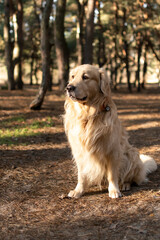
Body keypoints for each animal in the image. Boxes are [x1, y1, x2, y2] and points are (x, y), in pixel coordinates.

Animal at [63, 63, 157, 199]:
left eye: (85, 77)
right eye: (72, 76)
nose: (69, 87)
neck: (89, 115)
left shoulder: (112, 150)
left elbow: (112, 174)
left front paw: (114, 190)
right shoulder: (79, 151)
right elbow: (81, 175)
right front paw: (78, 190)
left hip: (132, 154)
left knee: (130, 178)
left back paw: (125, 185)